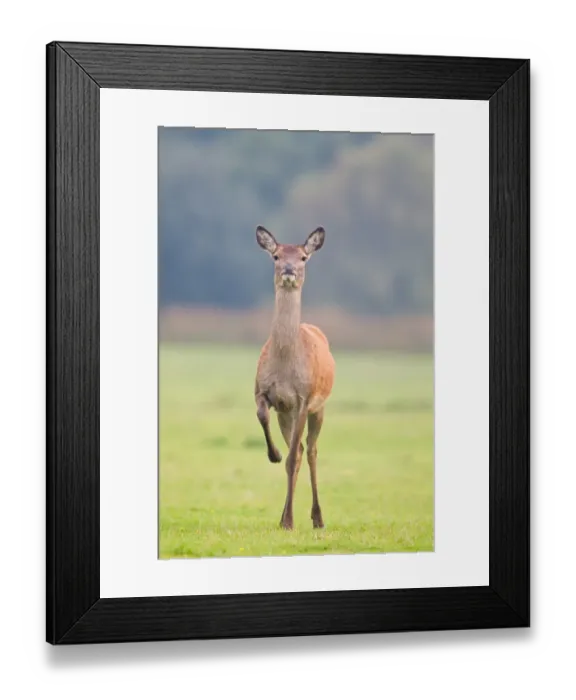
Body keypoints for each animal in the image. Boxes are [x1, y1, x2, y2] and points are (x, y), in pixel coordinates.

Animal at [254, 225, 335, 531]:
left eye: (302, 257)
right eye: (276, 256)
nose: (289, 270)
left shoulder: (304, 398)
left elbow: (293, 458)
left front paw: (290, 521)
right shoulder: (265, 393)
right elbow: (261, 417)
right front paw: (273, 454)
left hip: (320, 407)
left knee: (310, 451)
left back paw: (317, 518)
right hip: (285, 414)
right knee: (299, 450)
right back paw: (285, 516)